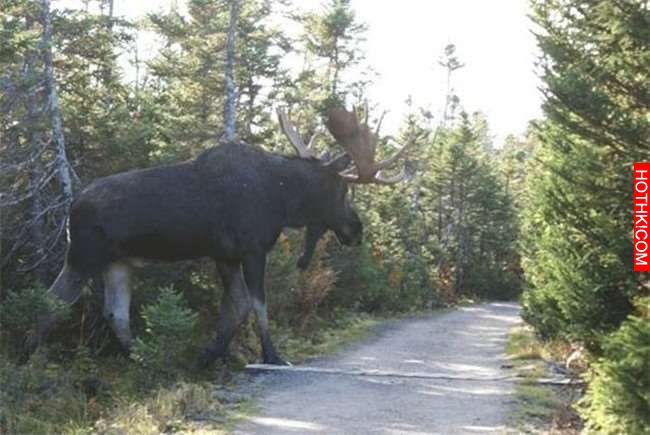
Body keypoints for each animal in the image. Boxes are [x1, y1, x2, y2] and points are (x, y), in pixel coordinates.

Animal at [27, 106, 412, 367]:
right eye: (341, 192)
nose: (356, 229)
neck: (283, 198)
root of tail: (70, 207)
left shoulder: (224, 254)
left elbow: (236, 306)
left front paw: (210, 355)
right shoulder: (253, 249)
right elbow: (257, 305)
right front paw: (272, 355)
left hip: (118, 263)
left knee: (115, 314)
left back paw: (148, 361)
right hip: (84, 256)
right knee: (48, 303)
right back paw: (31, 358)